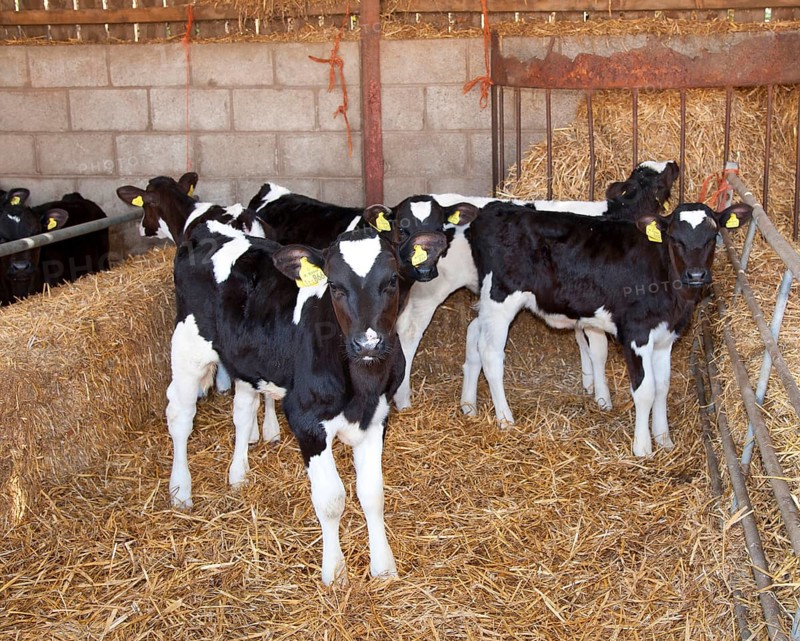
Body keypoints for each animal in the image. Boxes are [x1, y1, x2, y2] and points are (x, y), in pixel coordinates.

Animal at [168, 219, 446, 584]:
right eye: (335, 286)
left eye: (392, 280)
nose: (368, 343)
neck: (361, 384)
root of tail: (207, 228)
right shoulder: (307, 421)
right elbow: (331, 500)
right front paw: (335, 573)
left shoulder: (377, 416)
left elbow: (373, 493)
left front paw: (383, 568)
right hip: (188, 347)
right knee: (180, 417)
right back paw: (180, 490)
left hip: (247, 359)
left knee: (243, 411)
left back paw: (238, 475)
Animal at [459, 201, 752, 456]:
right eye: (674, 238)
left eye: (713, 236)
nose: (696, 275)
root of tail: (493, 209)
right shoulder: (636, 333)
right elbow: (645, 390)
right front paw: (643, 448)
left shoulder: (665, 336)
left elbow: (663, 387)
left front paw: (664, 439)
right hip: (501, 297)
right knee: (490, 354)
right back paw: (505, 419)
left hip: (489, 303)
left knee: (473, 333)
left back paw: (469, 405)